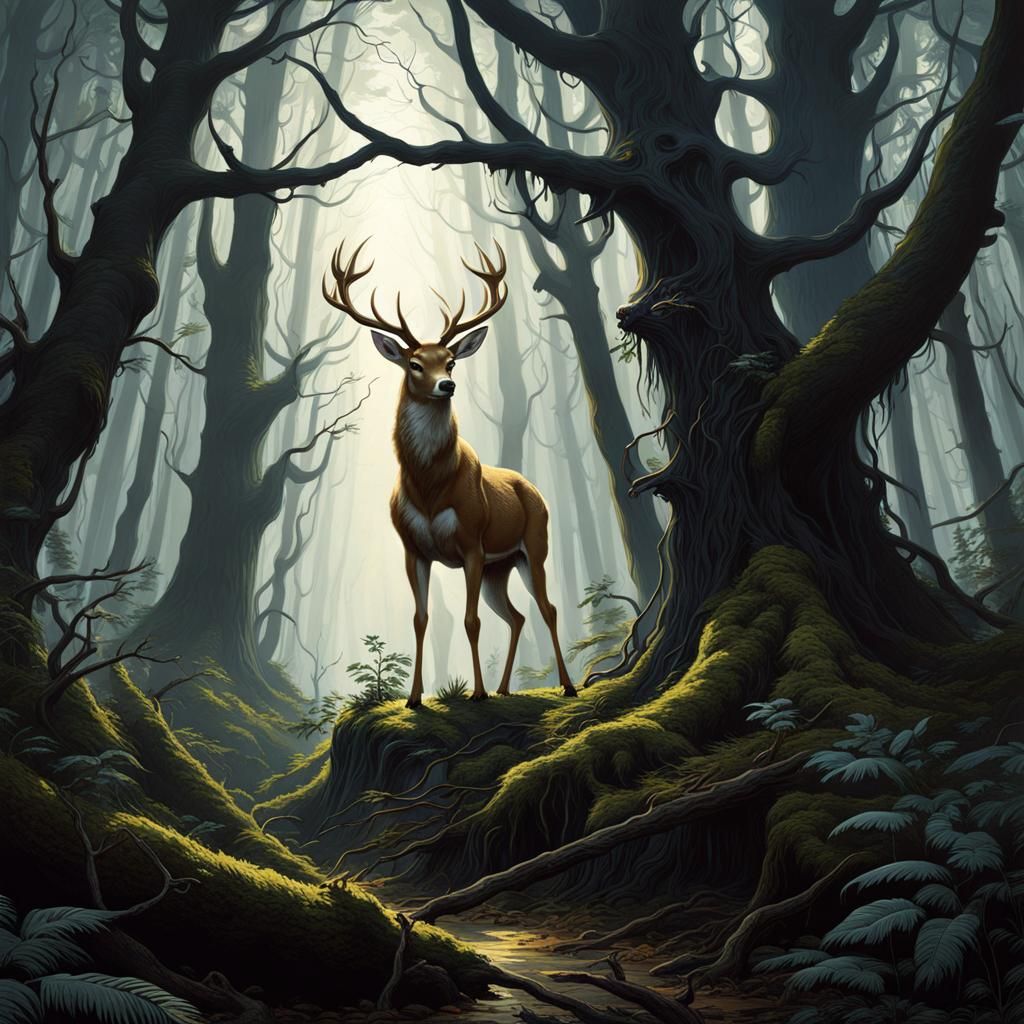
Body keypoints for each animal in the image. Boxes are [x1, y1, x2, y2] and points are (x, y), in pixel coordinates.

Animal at [322, 240, 577, 708]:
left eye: (452, 360)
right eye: (414, 363)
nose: (447, 385)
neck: (430, 486)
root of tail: (533, 488)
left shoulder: (472, 542)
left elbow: (471, 621)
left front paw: (474, 692)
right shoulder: (413, 548)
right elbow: (420, 619)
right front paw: (414, 698)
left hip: (534, 545)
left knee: (547, 609)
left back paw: (565, 684)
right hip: (500, 567)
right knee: (516, 616)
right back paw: (504, 688)